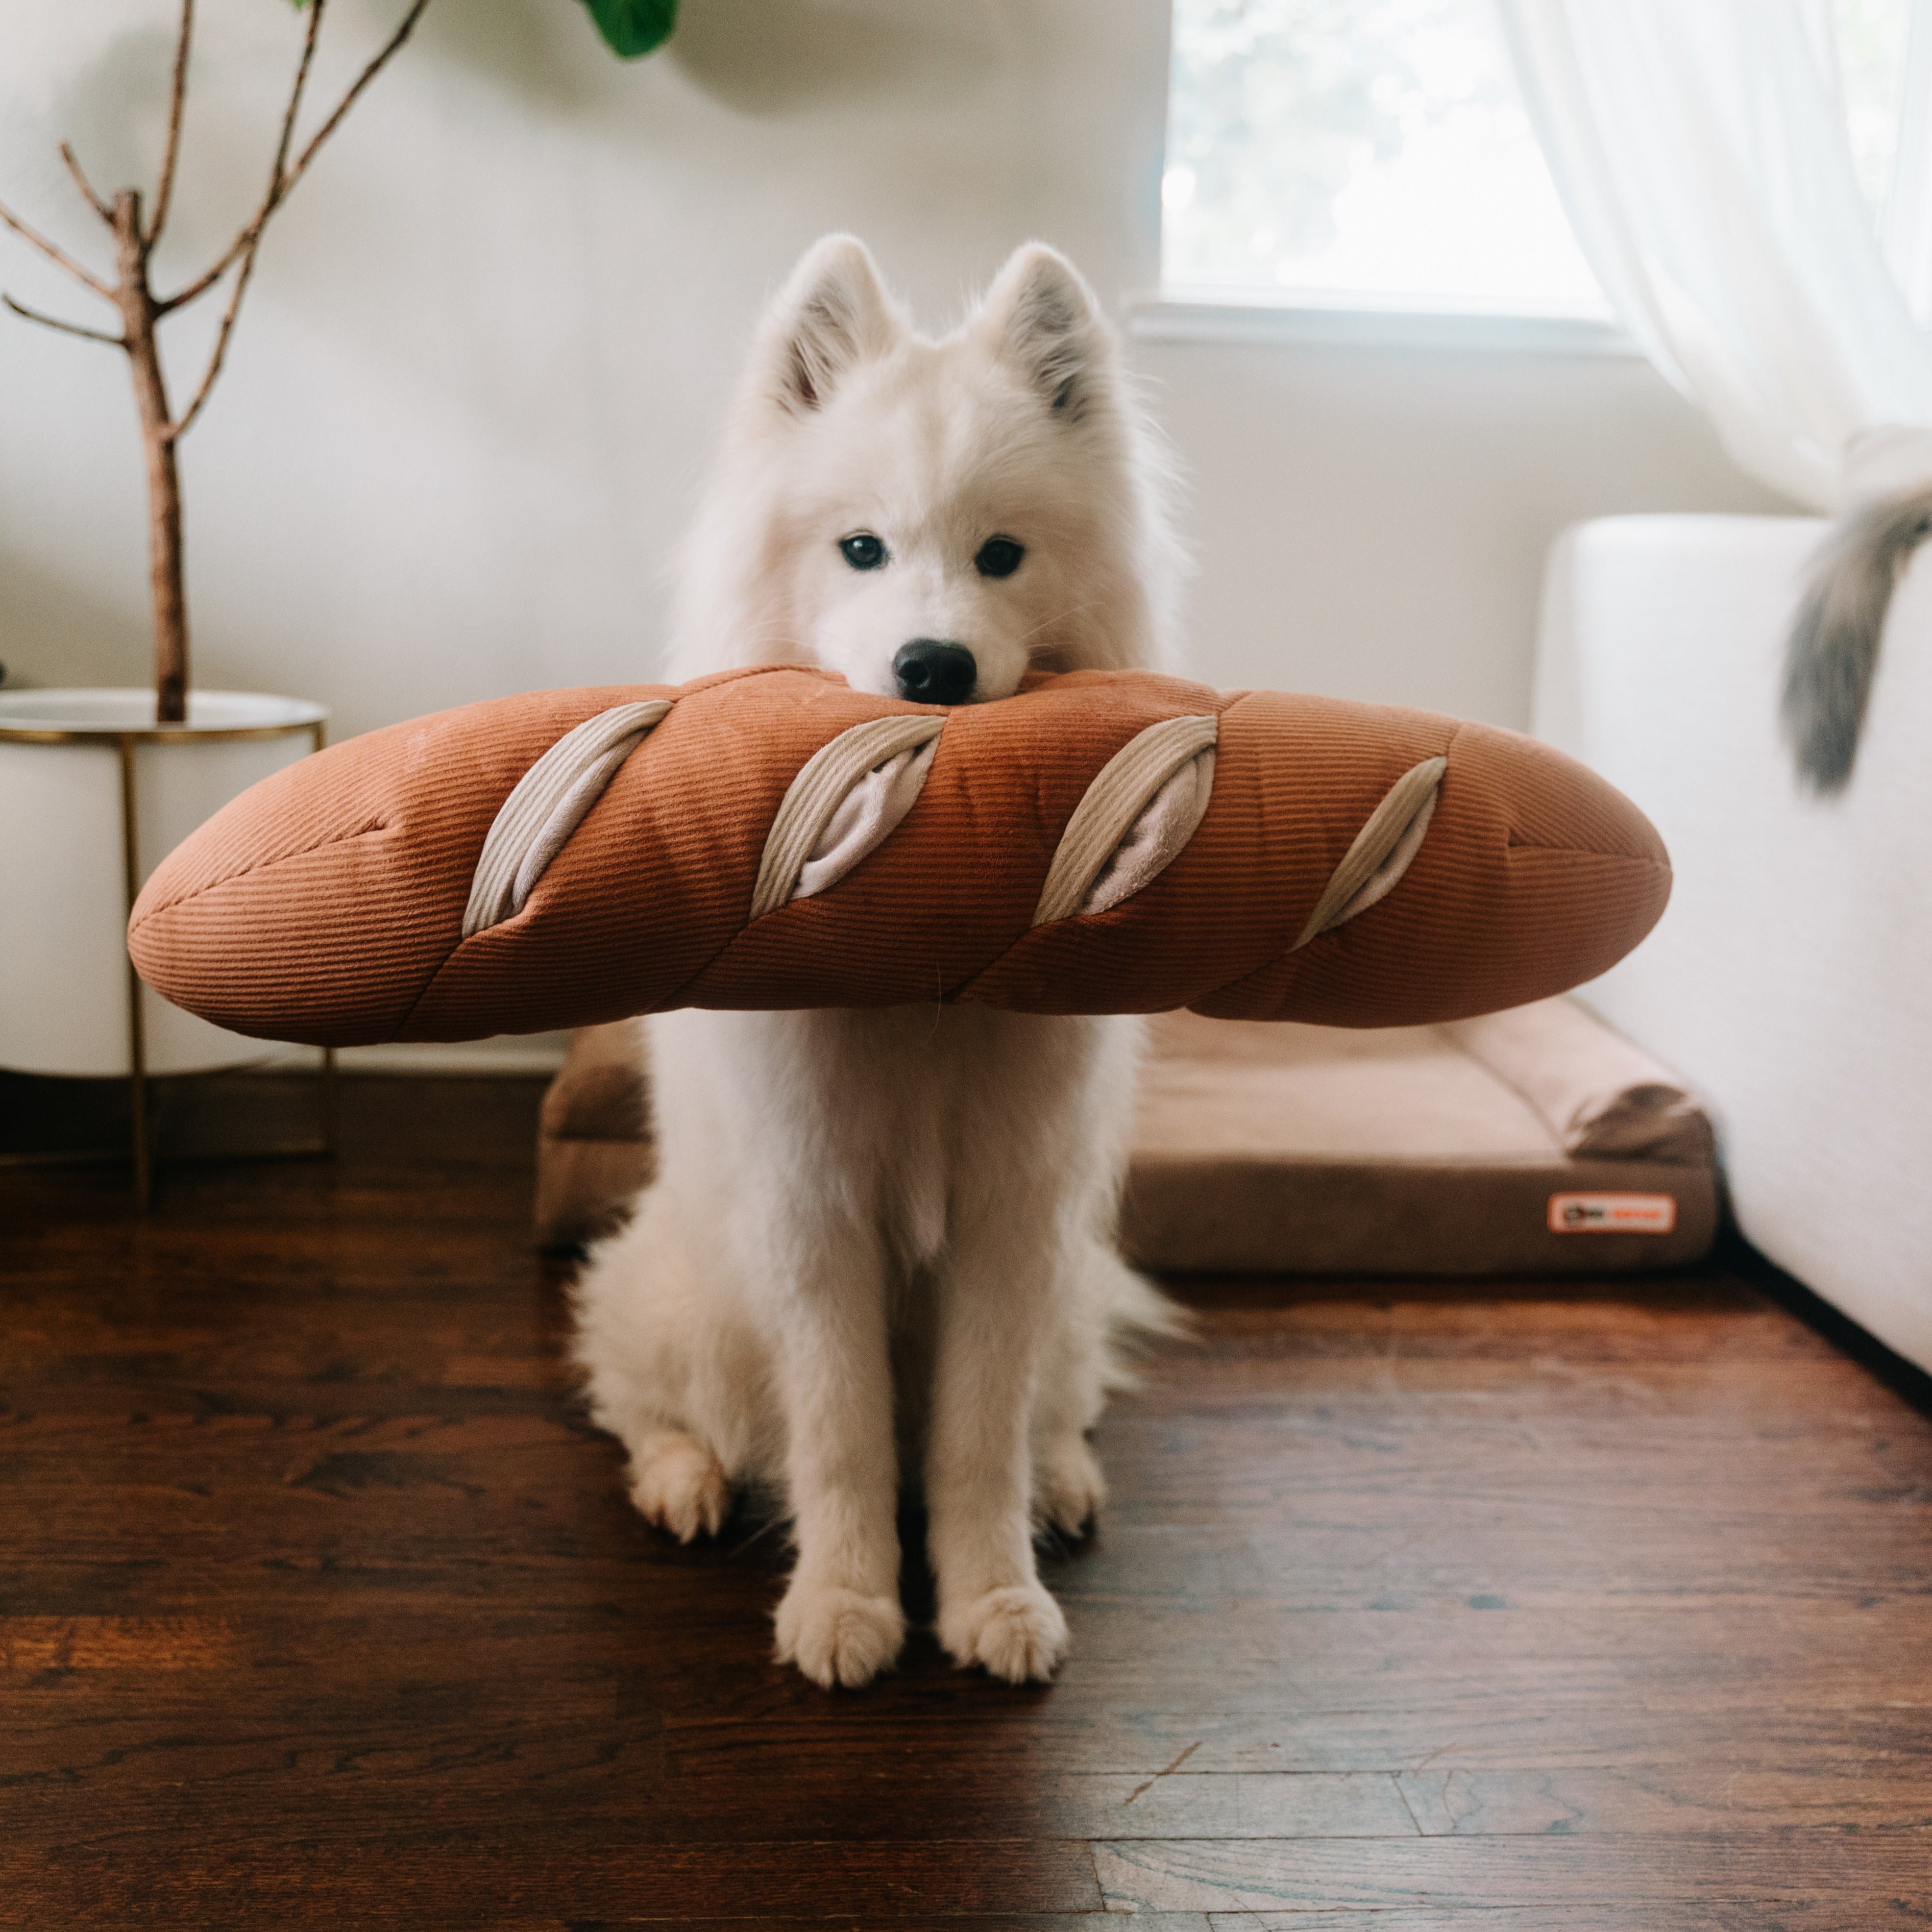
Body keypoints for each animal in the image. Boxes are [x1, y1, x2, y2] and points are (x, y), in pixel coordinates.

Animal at [564, 237, 1182, 1692]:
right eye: (861, 550)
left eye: (1001, 556)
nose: (933, 666)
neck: (918, 951)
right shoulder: (813, 1210)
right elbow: (842, 1436)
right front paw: (845, 1607)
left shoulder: (1011, 1220)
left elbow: (973, 1441)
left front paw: (992, 1598)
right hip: (689, 1303)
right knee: (646, 1405)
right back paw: (683, 1483)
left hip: (1068, 1293)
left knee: (1054, 1412)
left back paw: (1063, 1483)